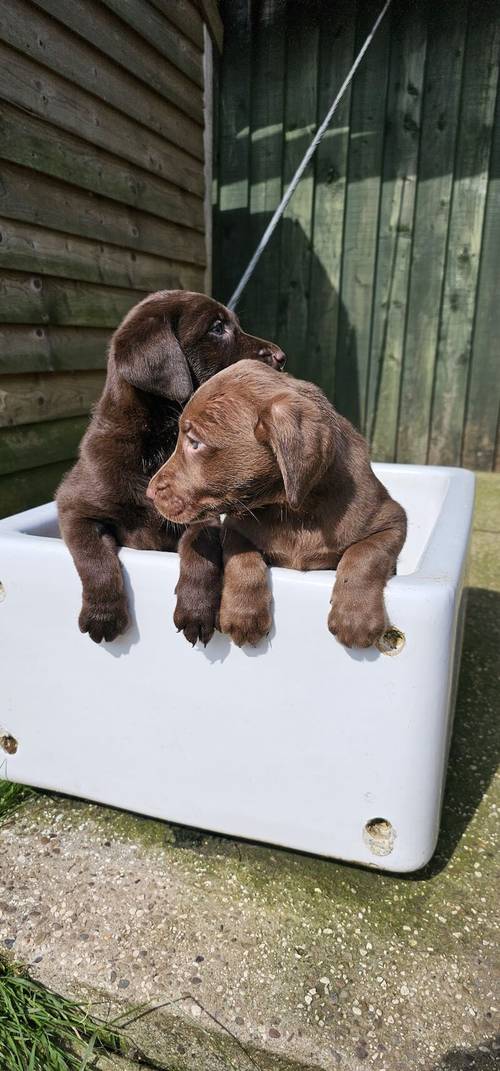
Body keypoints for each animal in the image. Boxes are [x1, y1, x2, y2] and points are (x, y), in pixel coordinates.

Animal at [56, 293, 284, 642]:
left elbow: (199, 546)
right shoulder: (73, 507)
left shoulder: (203, 511)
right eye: (217, 328)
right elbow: (93, 556)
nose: (281, 357)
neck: (157, 444)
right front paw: (103, 615)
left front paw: (196, 609)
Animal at [146, 359, 408, 646]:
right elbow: (242, 557)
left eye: (195, 443)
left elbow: (365, 554)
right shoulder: (234, 528)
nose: (149, 492)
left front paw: (356, 617)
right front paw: (243, 614)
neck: (294, 510)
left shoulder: (392, 521)